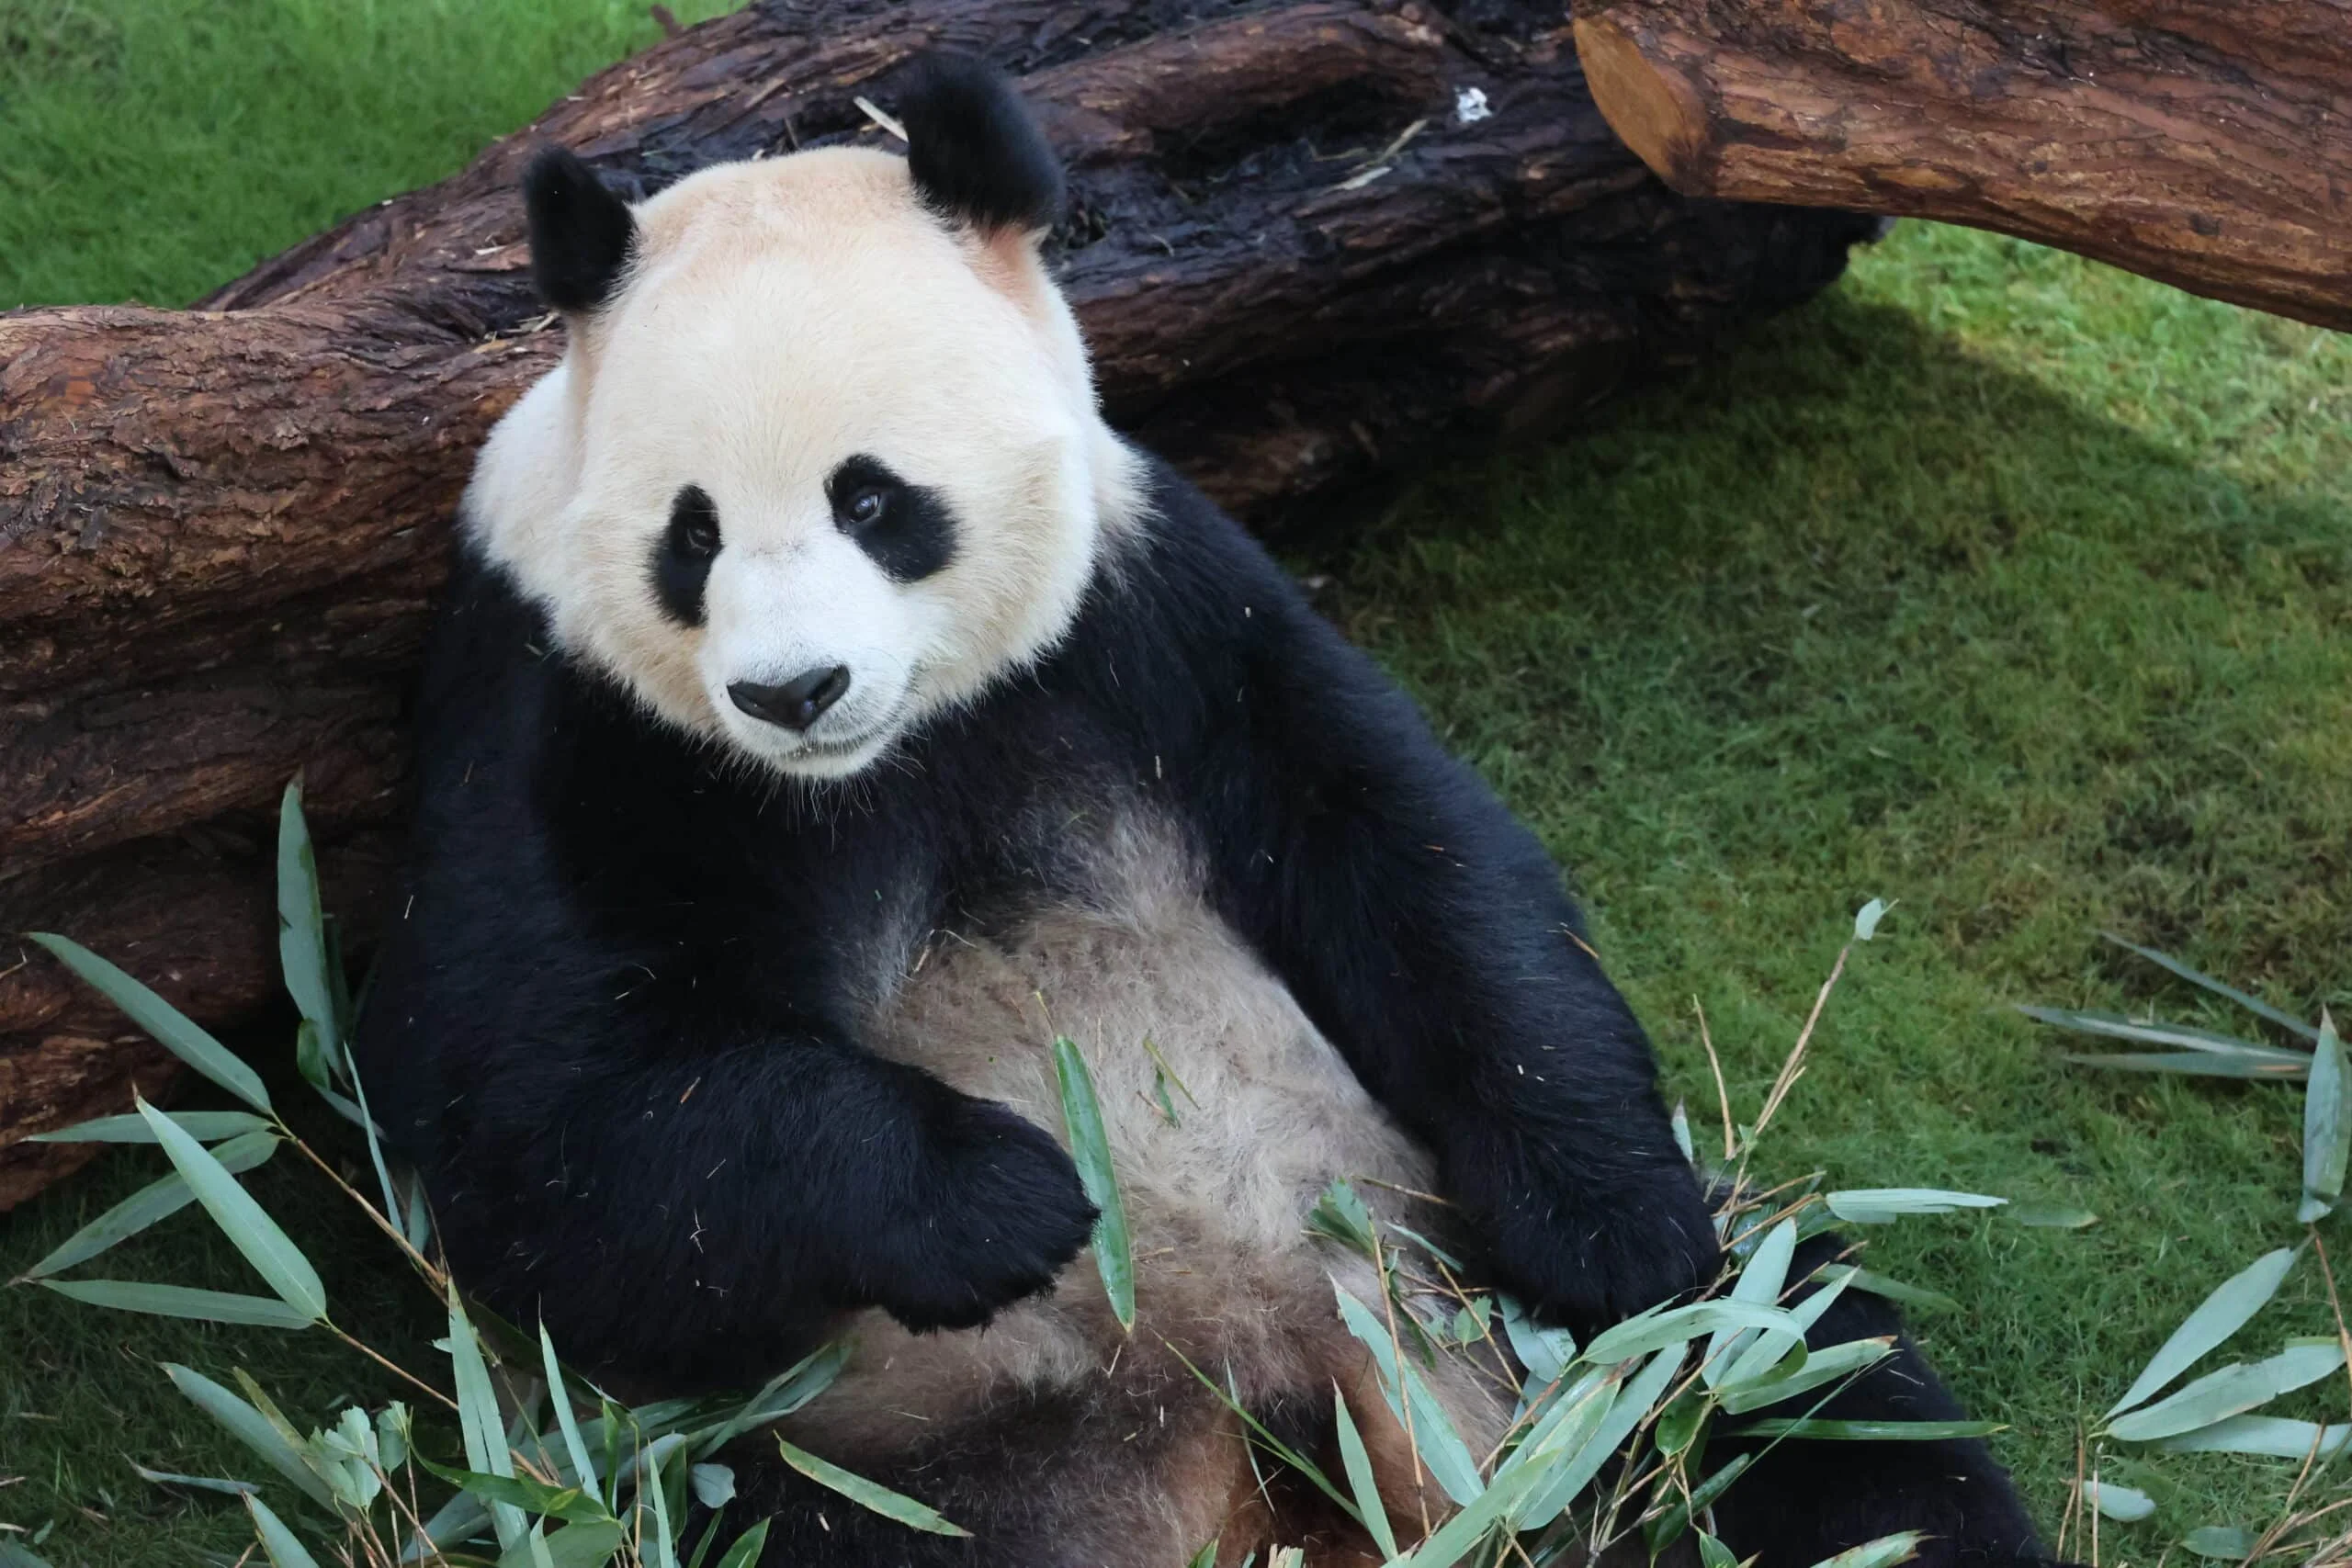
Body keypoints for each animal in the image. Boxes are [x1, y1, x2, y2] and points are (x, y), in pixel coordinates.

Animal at [355, 54, 2057, 1568]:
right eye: (689, 535)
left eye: (873, 498)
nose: (792, 689)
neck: (896, 754)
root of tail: (1273, 1453)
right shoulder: (564, 719)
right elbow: (555, 1131)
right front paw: (1005, 1195)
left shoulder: (1150, 609)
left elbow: (1413, 862)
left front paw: (1605, 1221)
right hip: (897, 1458)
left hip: (1496, 1312)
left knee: (1809, 1384)